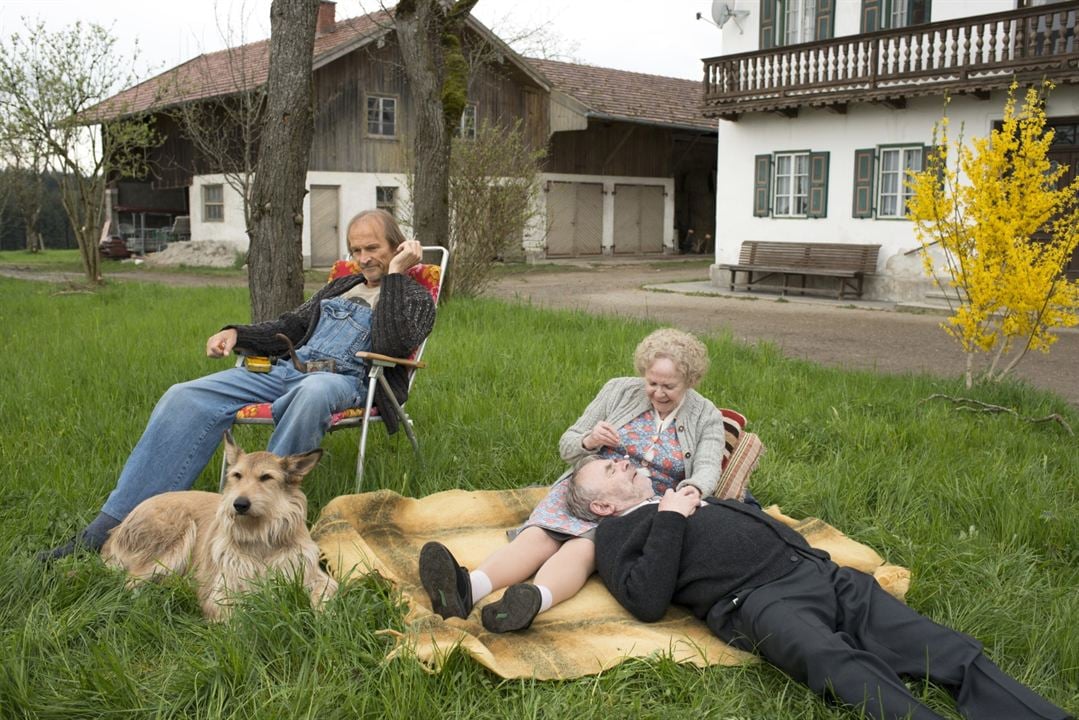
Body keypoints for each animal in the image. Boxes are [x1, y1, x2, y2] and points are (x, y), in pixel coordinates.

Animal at [101, 431, 336, 621]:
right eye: (237, 475)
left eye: (266, 477)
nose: (239, 504)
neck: (260, 537)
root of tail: (116, 530)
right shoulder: (222, 591)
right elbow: (240, 621)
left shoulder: (318, 578)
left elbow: (322, 598)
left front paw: (319, 621)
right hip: (179, 532)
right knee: (130, 583)